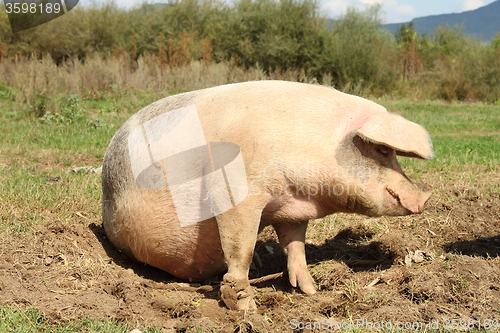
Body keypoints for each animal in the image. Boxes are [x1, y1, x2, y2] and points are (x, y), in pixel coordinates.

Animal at [100, 80, 430, 308]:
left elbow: (296, 246)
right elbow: (240, 248)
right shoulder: (233, 190)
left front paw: (310, 290)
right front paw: (246, 306)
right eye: (383, 151)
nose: (424, 199)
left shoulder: (290, 209)